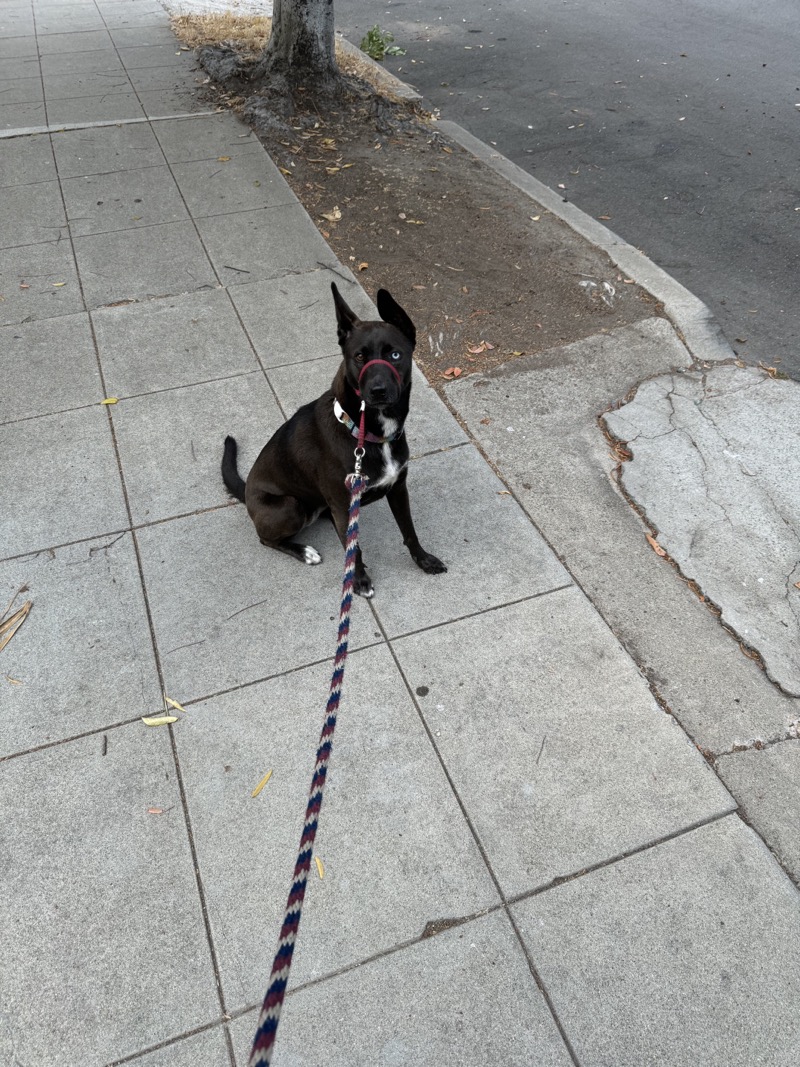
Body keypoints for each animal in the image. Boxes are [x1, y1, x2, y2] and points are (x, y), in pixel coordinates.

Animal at [220, 283, 445, 597]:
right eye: (359, 357)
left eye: (395, 355)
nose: (377, 391)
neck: (367, 433)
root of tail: (247, 491)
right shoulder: (342, 503)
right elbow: (355, 550)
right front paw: (359, 581)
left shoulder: (399, 488)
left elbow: (409, 531)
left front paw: (424, 560)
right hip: (290, 506)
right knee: (266, 539)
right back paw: (303, 551)